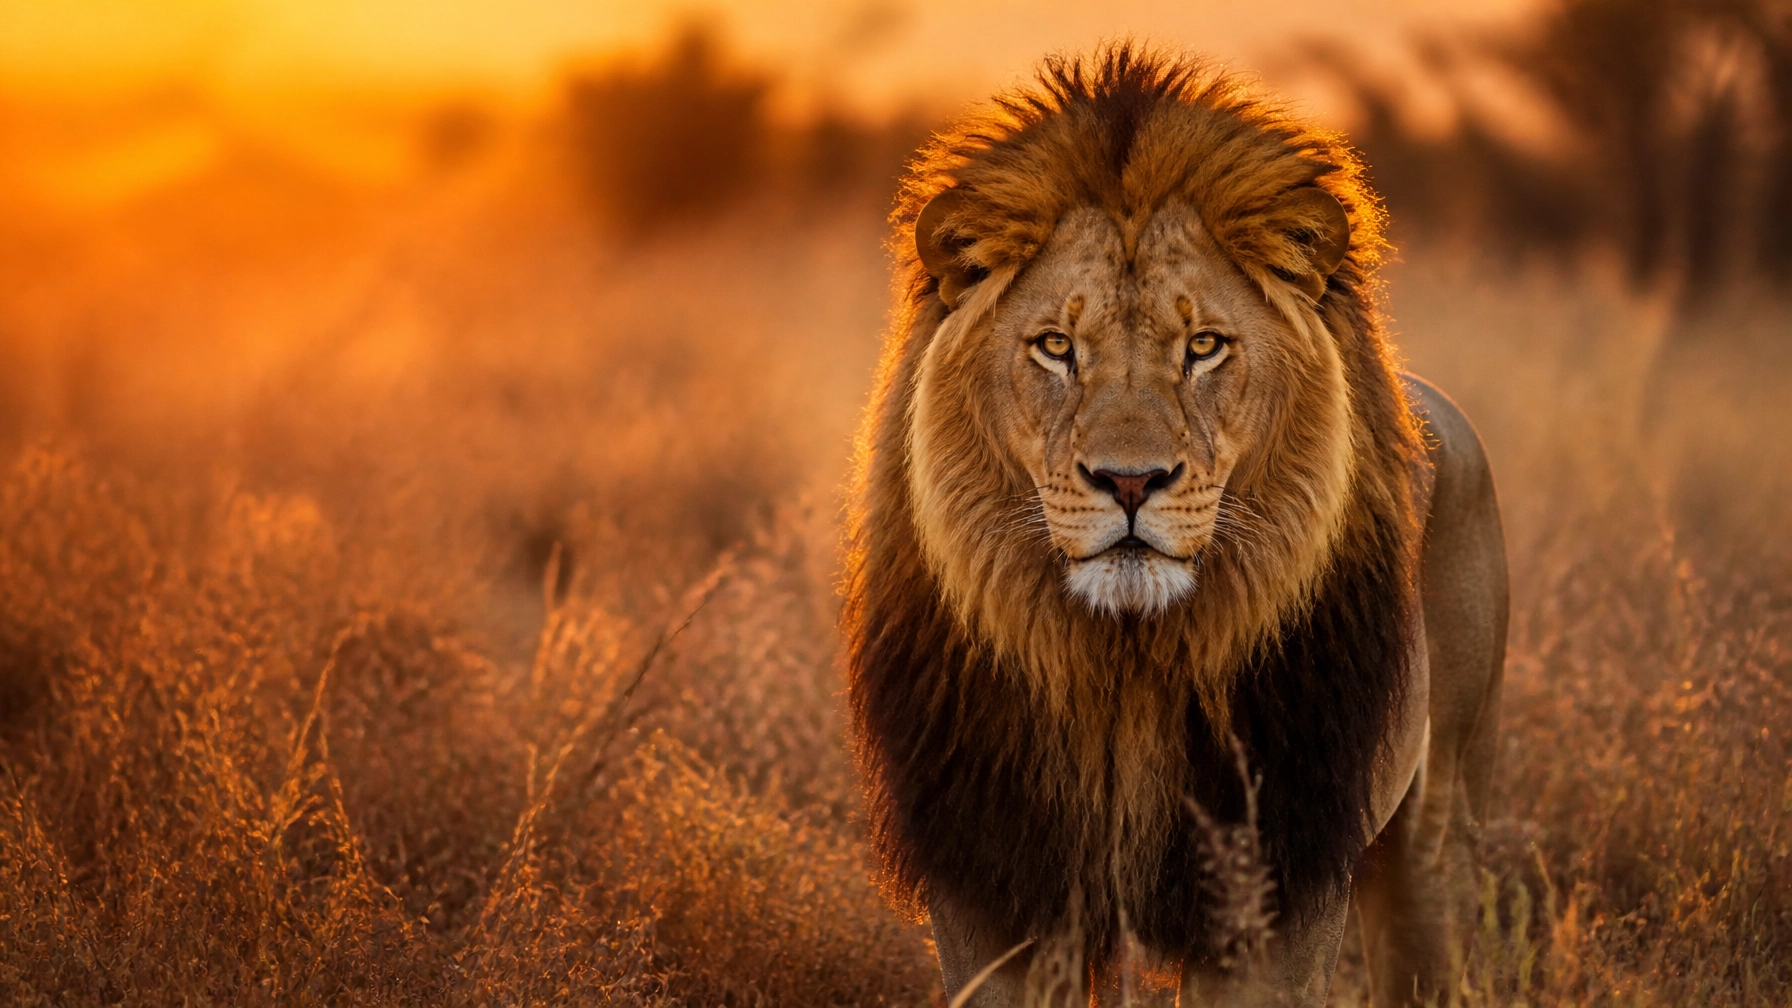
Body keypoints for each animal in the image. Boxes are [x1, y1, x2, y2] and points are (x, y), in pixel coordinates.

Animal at [842, 46, 1507, 1007]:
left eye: (1203, 348)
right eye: (1055, 347)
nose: (1130, 481)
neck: (1124, 665)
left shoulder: (1277, 883)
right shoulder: (992, 884)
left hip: (1438, 826)